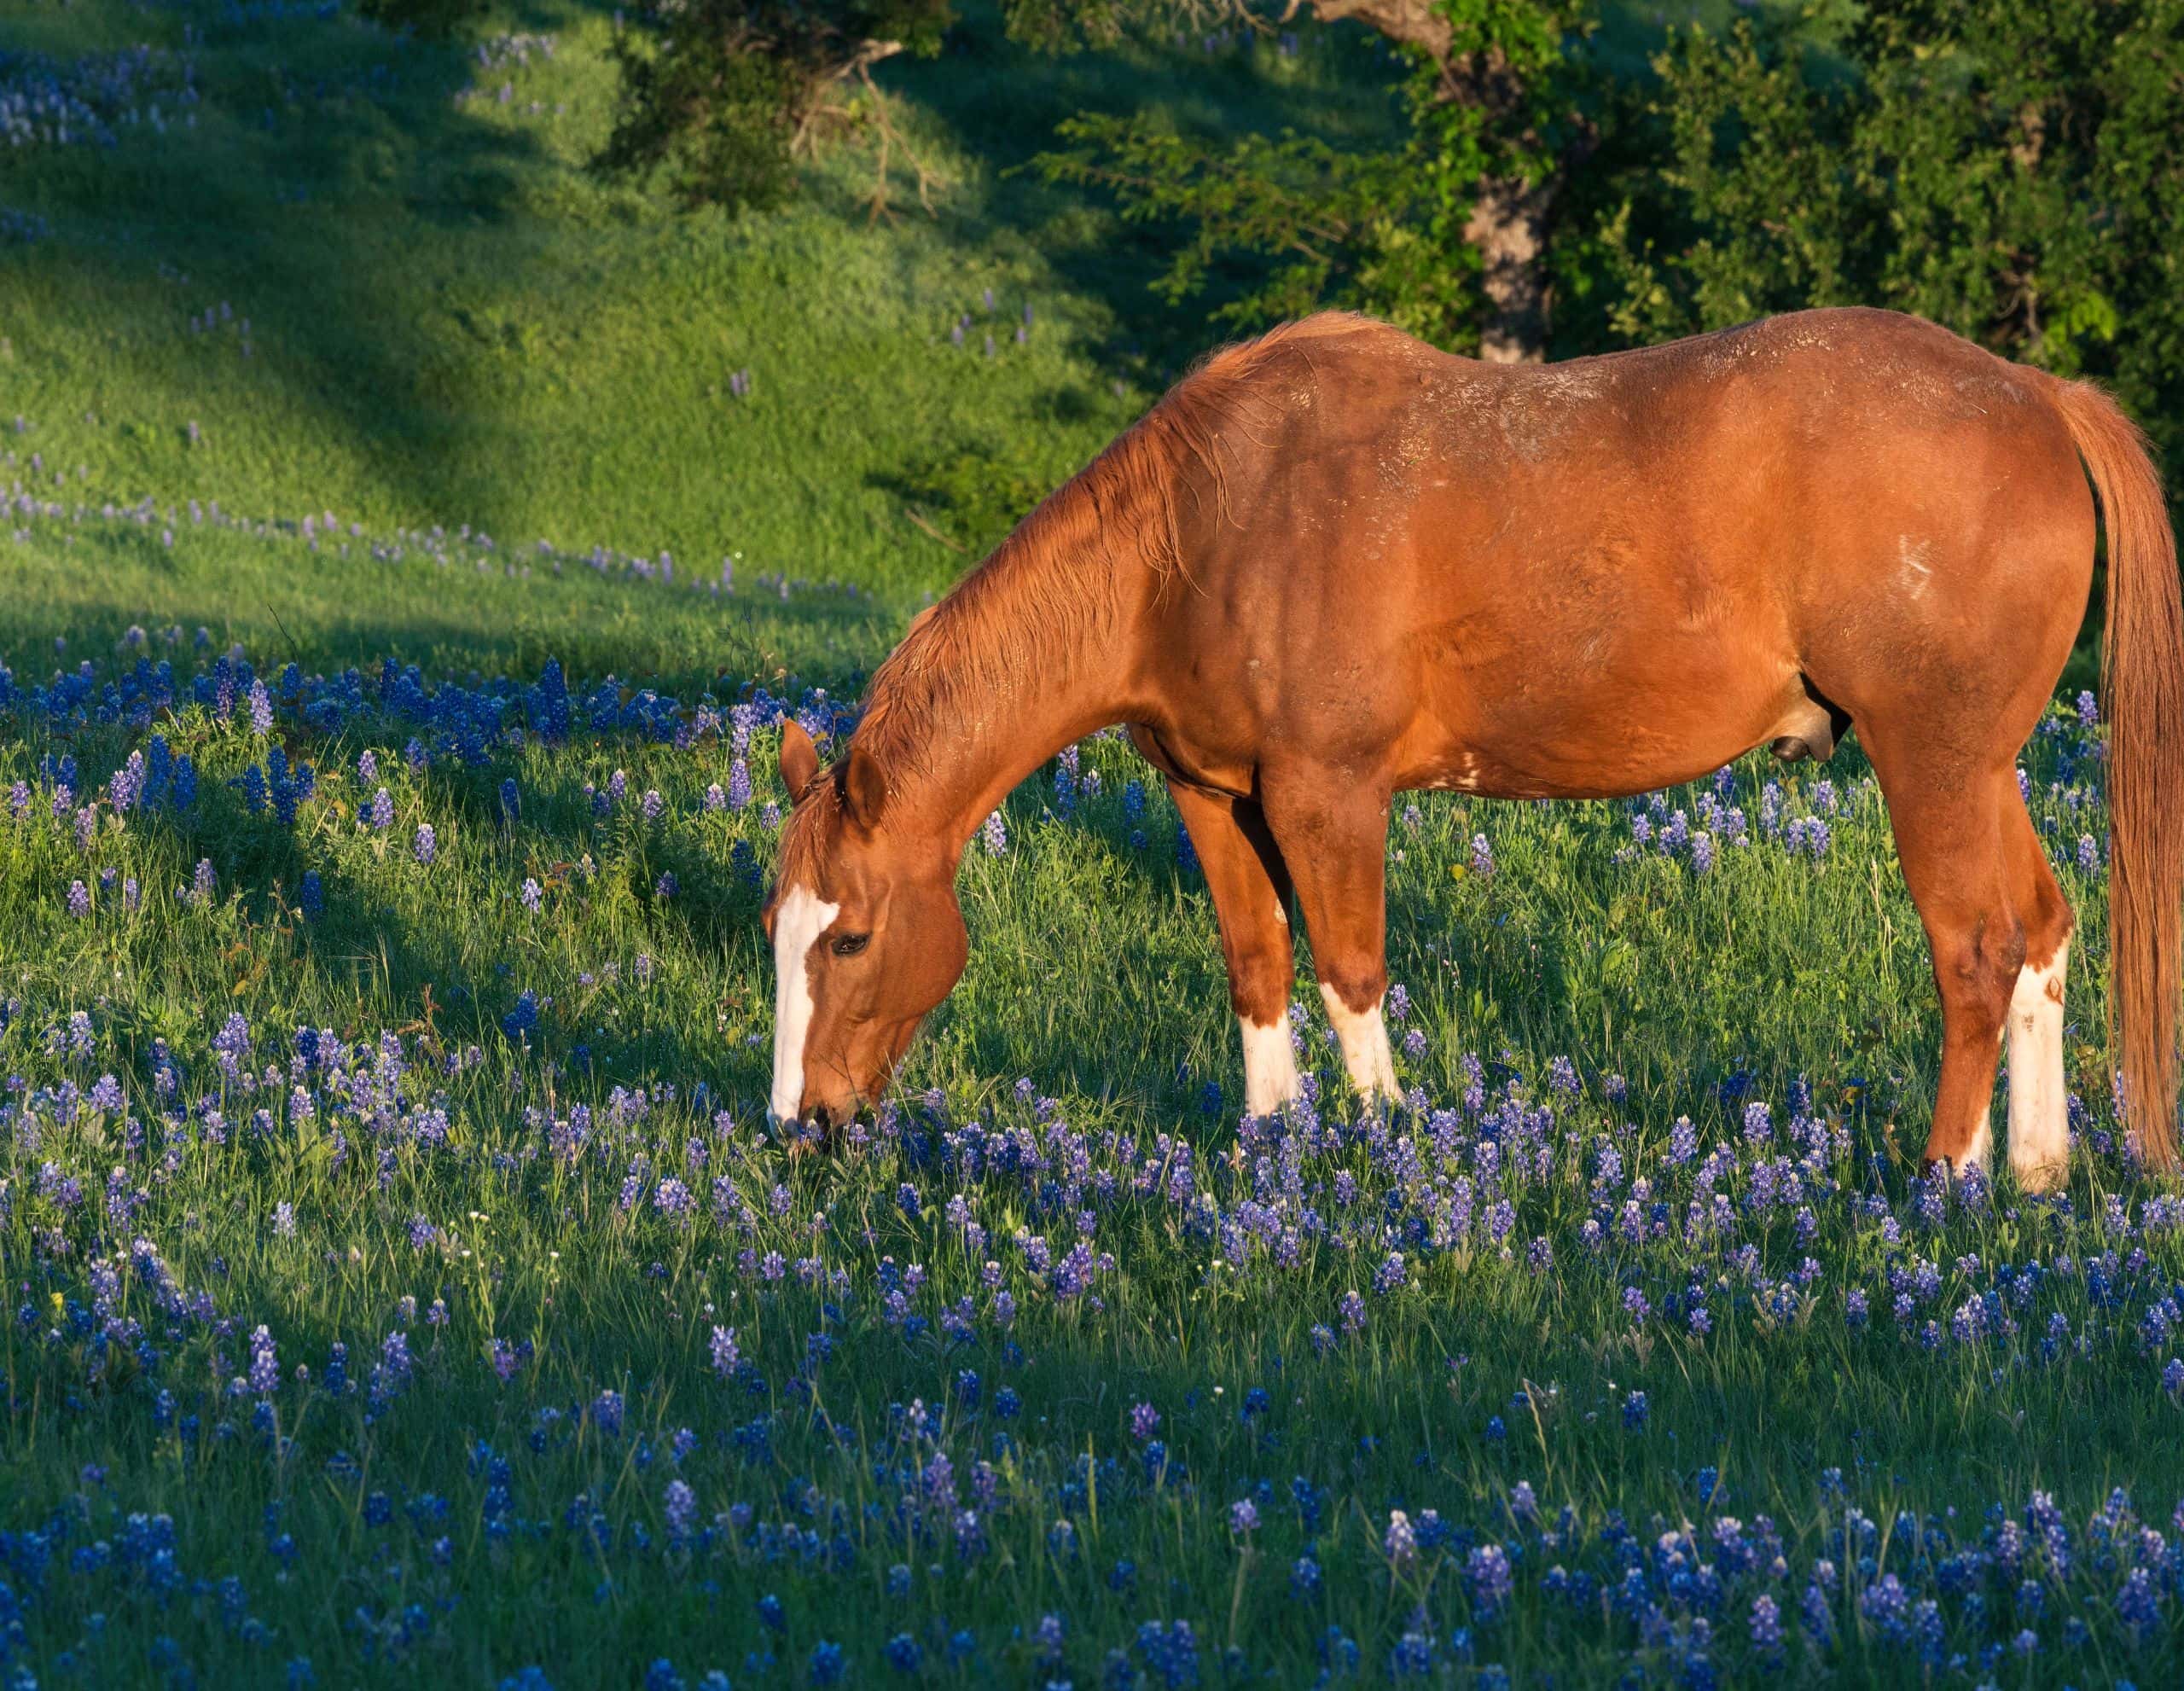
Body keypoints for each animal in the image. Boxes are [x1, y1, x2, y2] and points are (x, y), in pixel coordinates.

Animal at [769, 310, 2184, 1188]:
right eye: (777, 929)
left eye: (850, 938)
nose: (798, 1125)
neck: (1209, 519)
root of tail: (2036, 396)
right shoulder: (1213, 796)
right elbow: (1258, 967)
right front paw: (1272, 1150)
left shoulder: (1327, 792)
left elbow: (1350, 971)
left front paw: (1388, 1151)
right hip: (1983, 765)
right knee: (2042, 933)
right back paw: (2036, 1170)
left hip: (1929, 761)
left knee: (1976, 951)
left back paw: (1944, 1178)